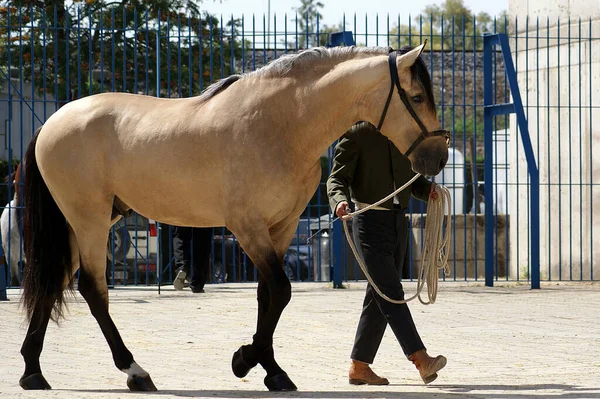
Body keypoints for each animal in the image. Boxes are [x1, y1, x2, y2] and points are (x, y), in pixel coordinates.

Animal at [18, 43, 448, 390]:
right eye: (415, 96)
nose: (438, 158)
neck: (281, 124)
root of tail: (51, 123)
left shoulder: (280, 228)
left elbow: (267, 296)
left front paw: (272, 371)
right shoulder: (247, 227)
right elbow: (281, 291)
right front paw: (245, 360)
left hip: (91, 221)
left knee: (55, 279)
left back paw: (32, 371)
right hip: (89, 219)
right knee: (92, 289)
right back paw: (135, 372)